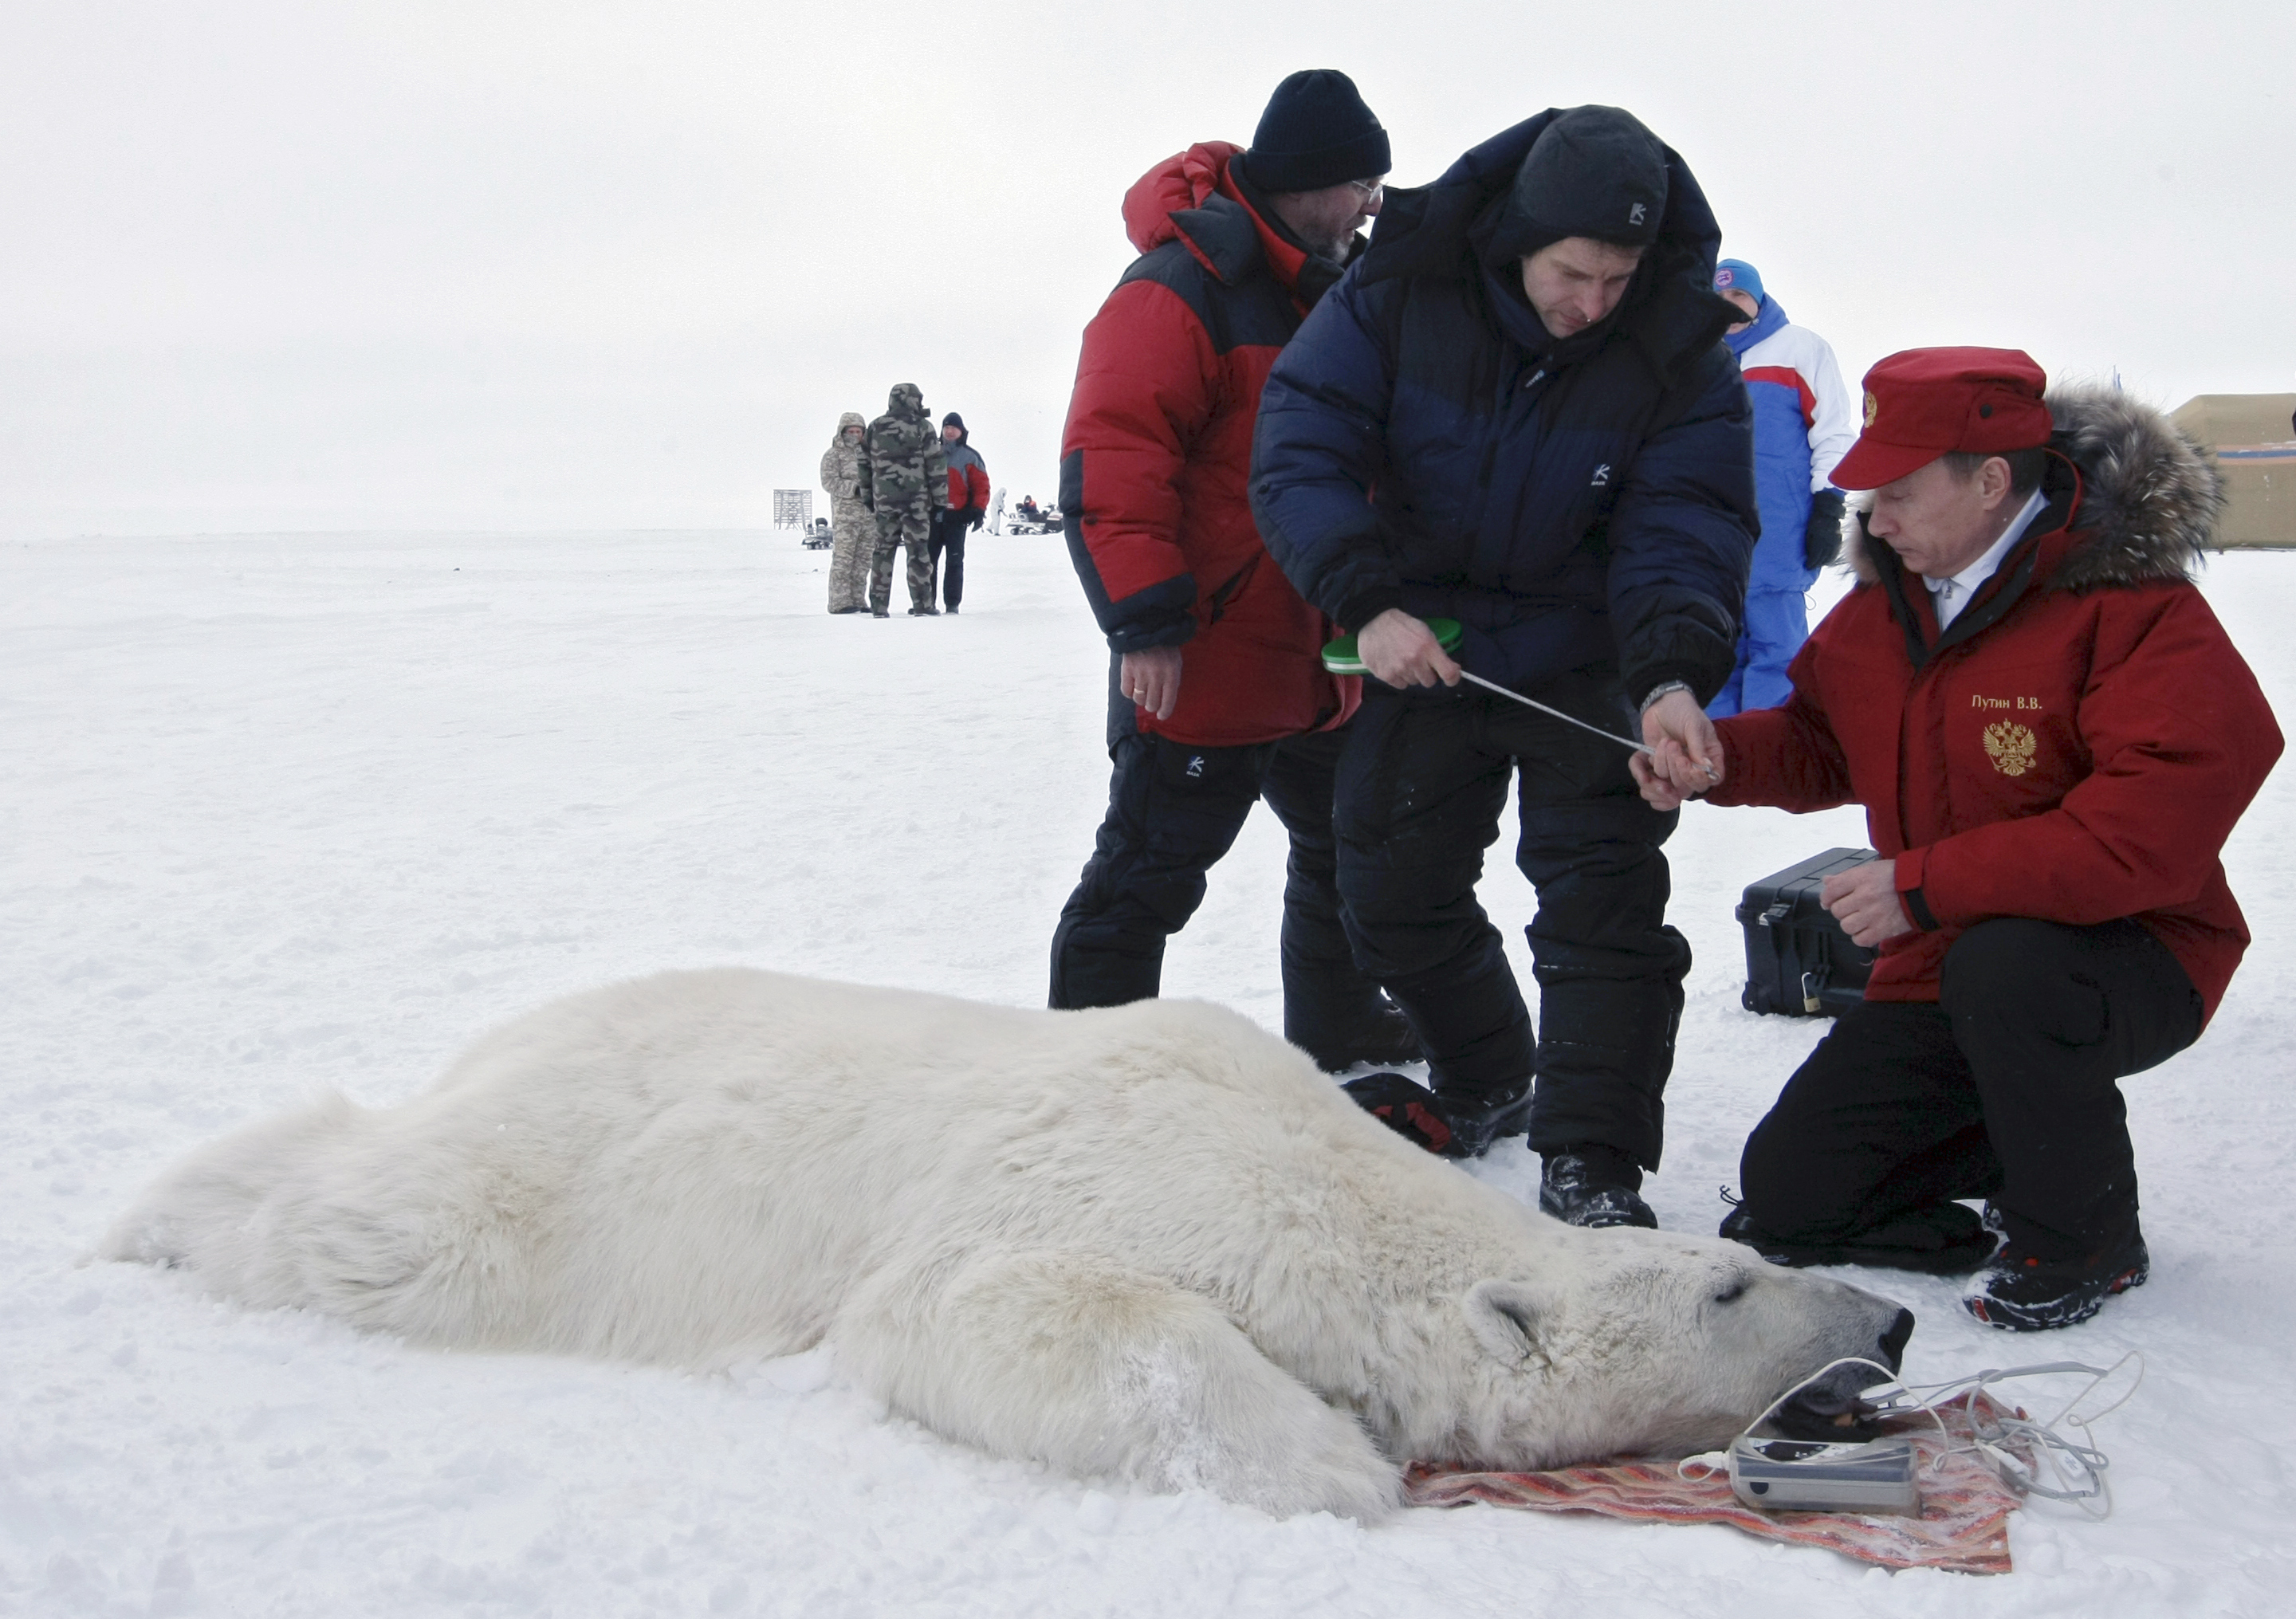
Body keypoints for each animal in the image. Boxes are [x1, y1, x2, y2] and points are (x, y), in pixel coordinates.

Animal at [98, 964, 1910, 1524]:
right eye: (1730, 1281)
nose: (1892, 1321)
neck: (1332, 1182)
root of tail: (512, 1035)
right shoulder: (1109, 1170)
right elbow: (972, 1306)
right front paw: (1333, 1461)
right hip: (580, 1172)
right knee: (394, 1221)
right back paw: (156, 1214)